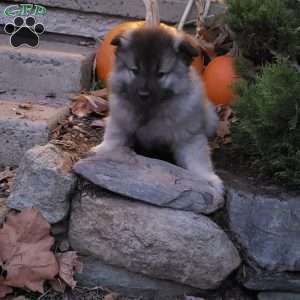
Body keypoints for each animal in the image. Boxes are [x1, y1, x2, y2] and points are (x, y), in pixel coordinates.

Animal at [92, 25, 224, 199]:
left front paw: (208, 179)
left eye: (161, 74)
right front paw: (102, 150)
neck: (151, 109)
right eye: (135, 71)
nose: (143, 94)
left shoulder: (188, 135)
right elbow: (114, 137)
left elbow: (197, 159)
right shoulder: (120, 120)